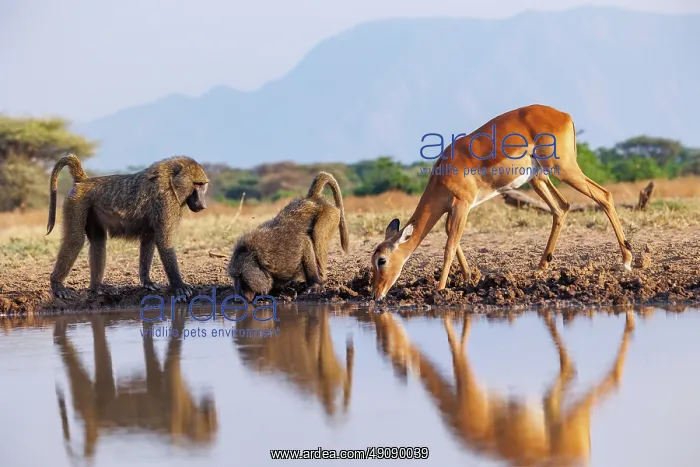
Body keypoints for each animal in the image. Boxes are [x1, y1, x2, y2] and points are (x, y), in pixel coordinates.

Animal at [46, 153, 209, 301]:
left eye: (203, 185)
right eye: (197, 184)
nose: (203, 205)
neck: (170, 180)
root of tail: (84, 180)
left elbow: (149, 239)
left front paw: (147, 281)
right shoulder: (167, 200)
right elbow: (164, 241)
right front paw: (179, 286)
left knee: (98, 242)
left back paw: (96, 287)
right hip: (77, 202)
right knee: (75, 240)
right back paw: (57, 285)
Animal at [228, 171, 349, 302]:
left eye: (241, 276)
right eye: (234, 277)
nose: (238, 297)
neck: (258, 259)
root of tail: (312, 199)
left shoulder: (282, 256)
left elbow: (306, 242)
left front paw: (314, 284)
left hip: (330, 214)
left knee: (318, 235)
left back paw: (319, 280)